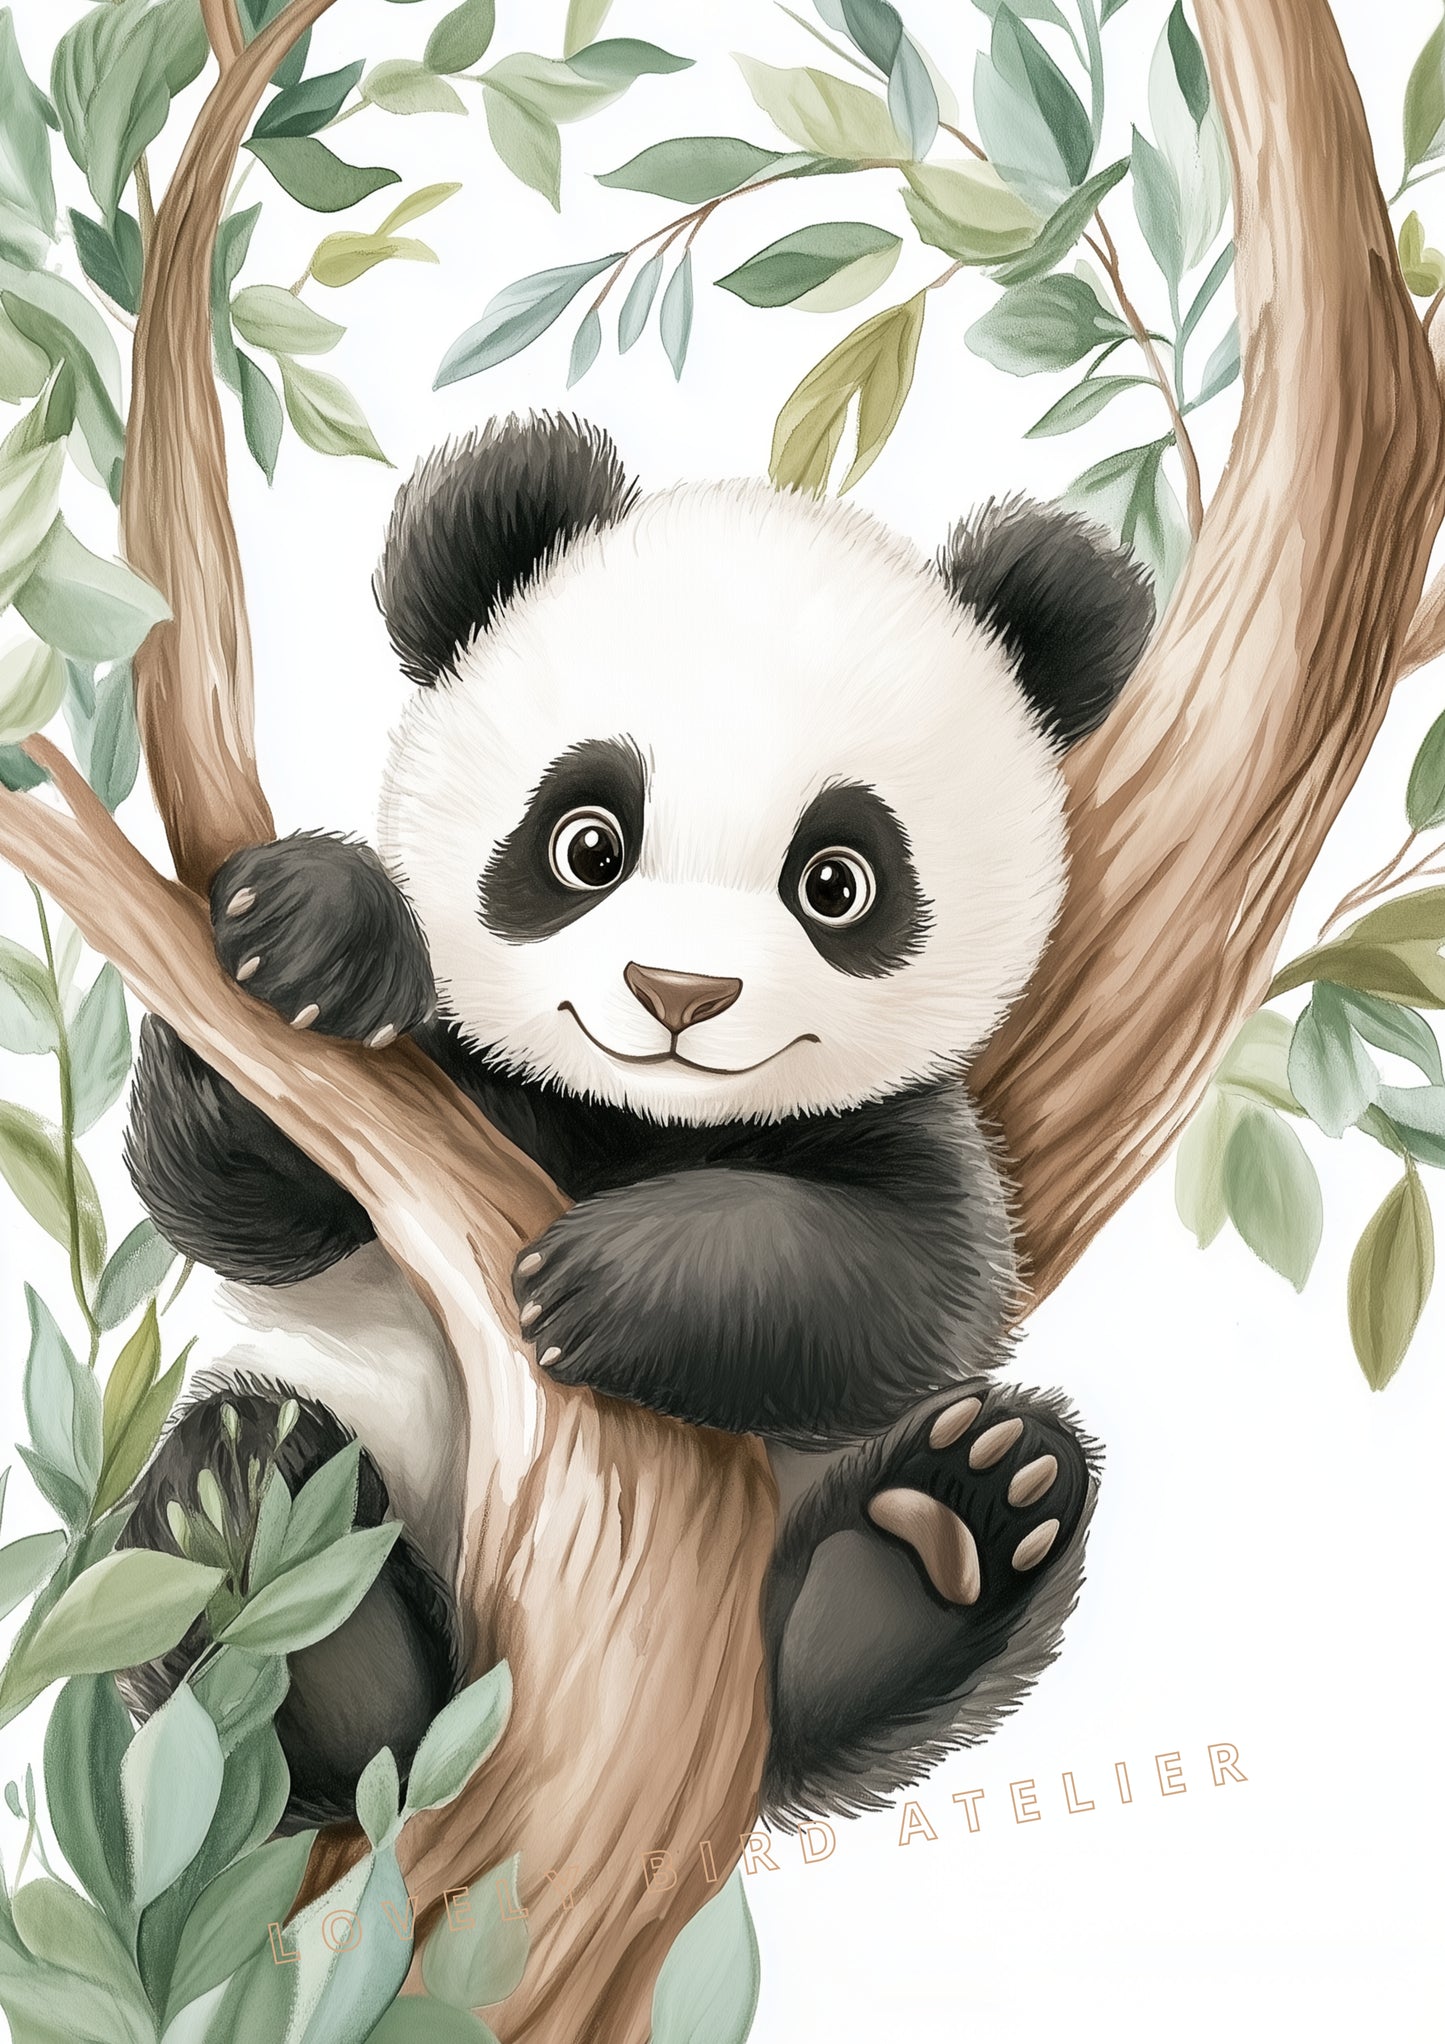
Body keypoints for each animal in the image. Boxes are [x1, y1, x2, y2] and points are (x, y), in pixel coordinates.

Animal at [119, 413, 1151, 1832]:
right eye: (587, 842)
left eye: (837, 881)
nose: (678, 994)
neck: (635, 1120)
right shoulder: (450, 1087)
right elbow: (238, 1186)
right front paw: (313, 934)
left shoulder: (904, 1123)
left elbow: (914, 1278)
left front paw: (598, 1285)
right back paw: (265, 1548)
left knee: (828, 1676)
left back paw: (943, 1531)